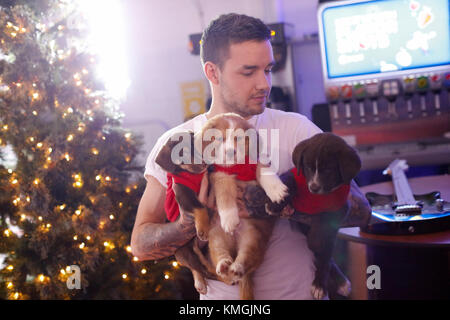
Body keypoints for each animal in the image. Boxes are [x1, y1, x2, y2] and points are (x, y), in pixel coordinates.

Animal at [196, 113, 288, 300]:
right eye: (219, 139)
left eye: (239, 138)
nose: (230, 152)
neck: (237, 167)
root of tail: (235, 243)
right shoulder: (220, 176)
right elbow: (225, 196)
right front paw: (230, 219)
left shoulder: (256, 163)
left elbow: (265, 171)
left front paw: (277, 191)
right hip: (216, 238)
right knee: (220, 254)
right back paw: (224, 264)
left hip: (253, 237)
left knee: (246, 259)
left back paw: (237, 268)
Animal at [264, 132, 362, 300]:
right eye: (308, 167)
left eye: (328, 170)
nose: (314, 187)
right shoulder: (296, 176)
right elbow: (288, 183)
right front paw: (275, 204)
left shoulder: (340, 207)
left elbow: (324, 221)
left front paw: (315, 240)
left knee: (326, 260)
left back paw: (324, 284)